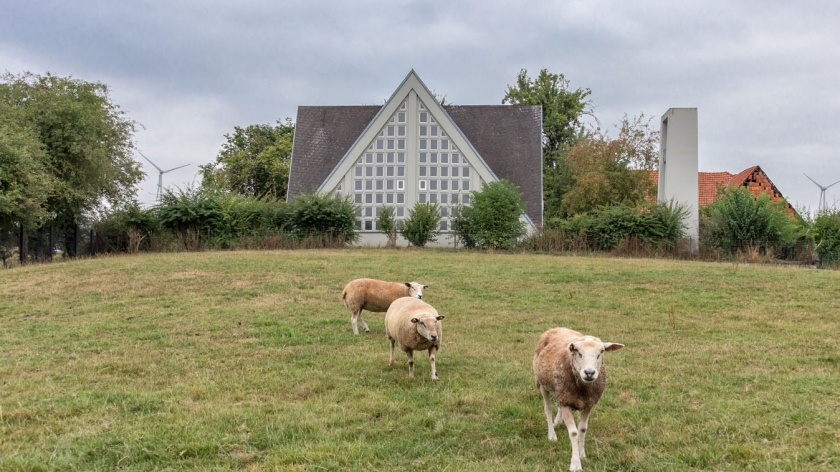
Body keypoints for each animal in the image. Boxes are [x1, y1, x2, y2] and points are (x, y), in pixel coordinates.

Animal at [532, 328, 624, 472]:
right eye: (578, 352)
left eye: (601, 352)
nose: (589, 373)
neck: (583, 390)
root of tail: (557, 328)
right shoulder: (566, 402)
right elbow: (574, 433)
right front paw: (575, 463)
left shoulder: (587, 404)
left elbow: (582, 429)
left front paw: (582, 454)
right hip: (542, 383)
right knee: (548, 409)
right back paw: (552, 434)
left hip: (560, 391)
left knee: (557, 404)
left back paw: (558, 422)